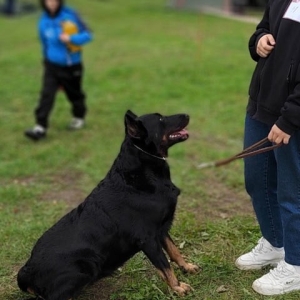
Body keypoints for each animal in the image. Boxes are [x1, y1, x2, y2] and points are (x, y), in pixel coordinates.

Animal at [17, 110, 198, 300]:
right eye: (161, 119)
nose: (187, 114)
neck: (142, 173)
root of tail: (26, 273)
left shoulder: (161, 230)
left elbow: (174, 251)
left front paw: (186, 267)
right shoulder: (147, 239)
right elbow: (164, 265)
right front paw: (177, 287)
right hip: (86, 267)